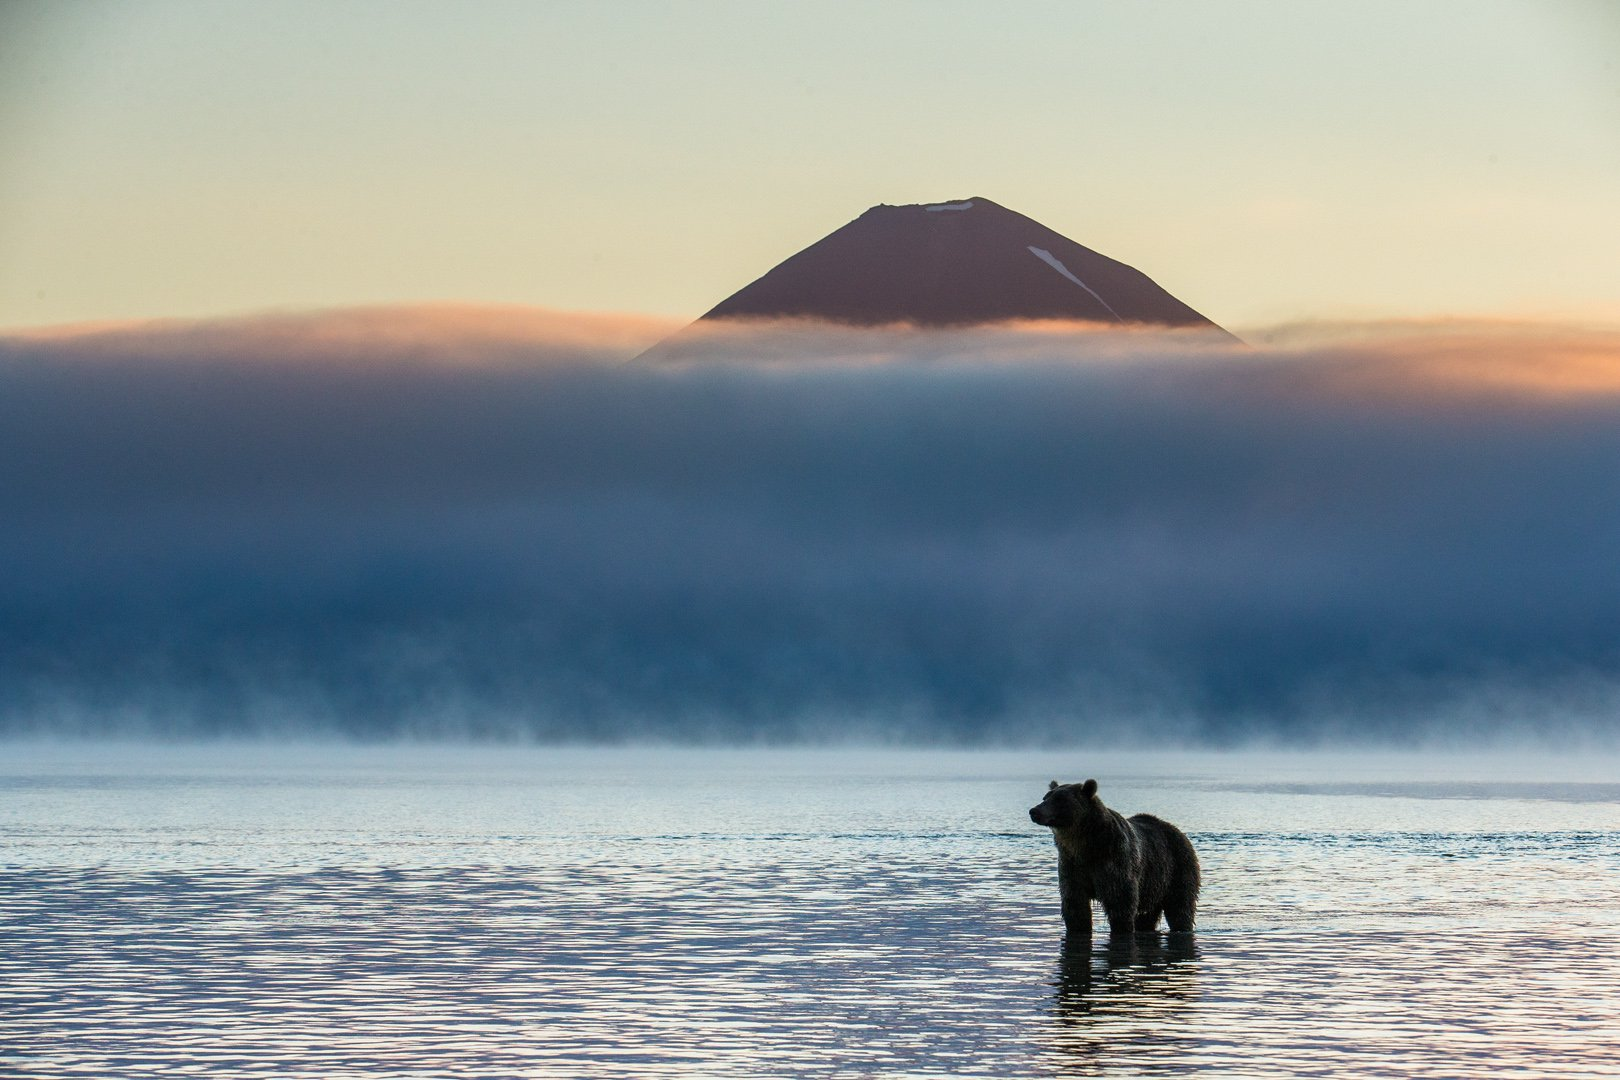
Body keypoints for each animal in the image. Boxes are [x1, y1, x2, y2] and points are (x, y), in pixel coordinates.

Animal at [1030, 777, 1198, 939]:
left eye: (1060, 799)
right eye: (1045, 797)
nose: (1034, 811)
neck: (1084, 844)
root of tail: (1177, 830)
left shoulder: (1114, 862)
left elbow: (1120, 903)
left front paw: (1121, 927)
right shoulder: (1071, 865)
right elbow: (1075, 905)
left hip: (1176, 868)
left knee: (1180, 907)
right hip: (1153, 885)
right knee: (1147, 916)